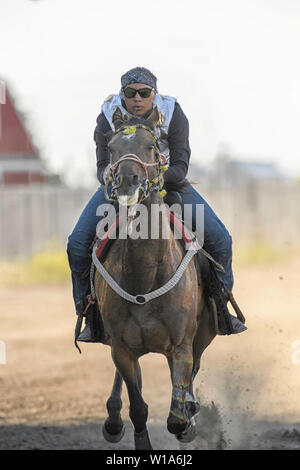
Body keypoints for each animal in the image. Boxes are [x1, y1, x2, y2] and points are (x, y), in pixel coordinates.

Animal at [93, 108, 216, 450]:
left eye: (151, 145)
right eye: (111, 149)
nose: (126, 180)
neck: (144, 276)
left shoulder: (182, 345)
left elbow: (176, 418)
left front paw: (188, 420)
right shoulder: (121, 349)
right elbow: (138, 408)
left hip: (203, 333)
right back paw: (112, 420)